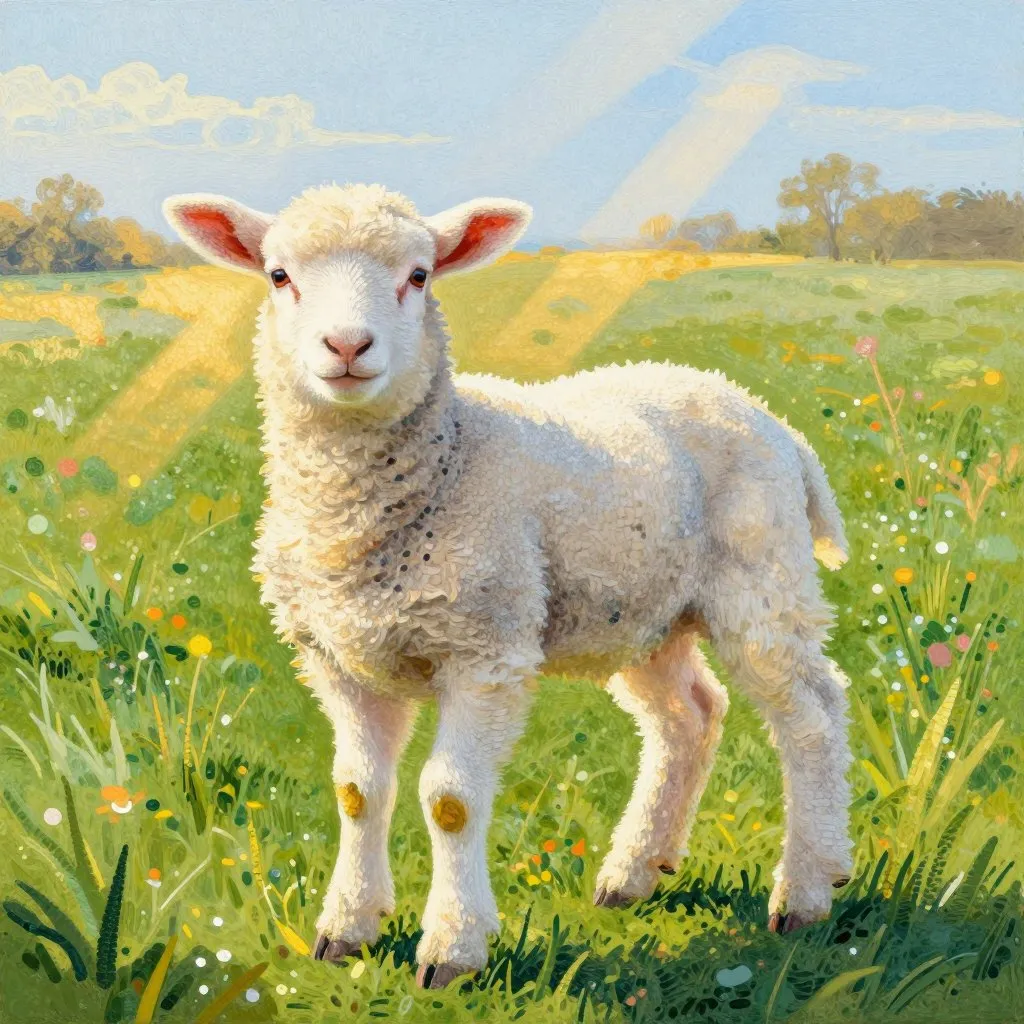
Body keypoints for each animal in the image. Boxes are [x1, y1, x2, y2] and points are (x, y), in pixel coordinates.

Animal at [164, 183, 854, 990]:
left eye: (420, 276)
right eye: (278, 276)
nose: (347, 347)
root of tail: (767, 416)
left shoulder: (485, 650)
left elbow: (450, 800)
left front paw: (452, 949)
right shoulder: (336, 656)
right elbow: (357, 790)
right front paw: (346, 929)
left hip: (762, 578)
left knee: (811, 717)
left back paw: (806, 889)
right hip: (645, 609)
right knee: (688, 716)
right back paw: (634, 871)